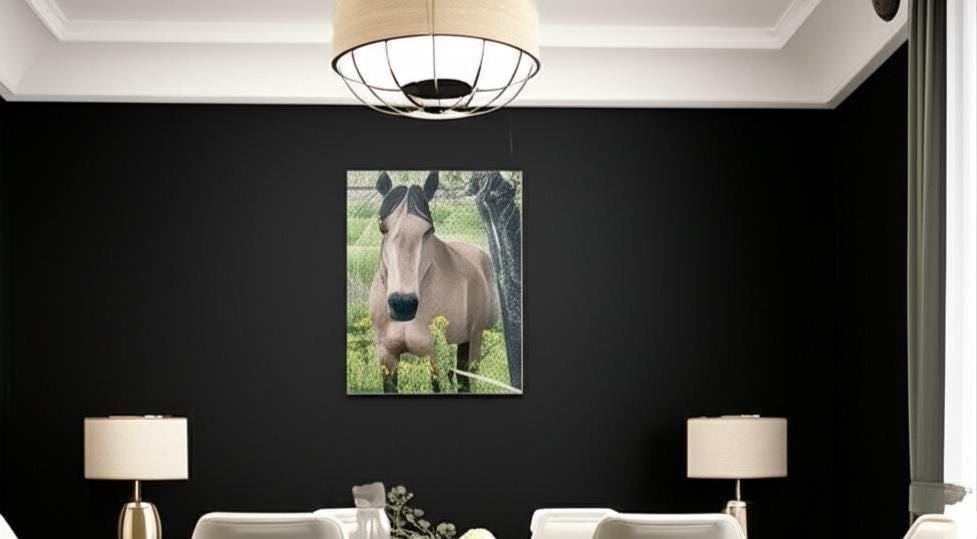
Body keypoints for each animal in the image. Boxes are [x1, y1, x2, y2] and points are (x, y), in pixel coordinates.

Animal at [368, 171, 498, 393]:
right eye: (382, 227)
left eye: (428, 230)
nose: (403, 305)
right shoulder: (387, 354)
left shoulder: (435, 353)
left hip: (474, 339)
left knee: (465, 377)